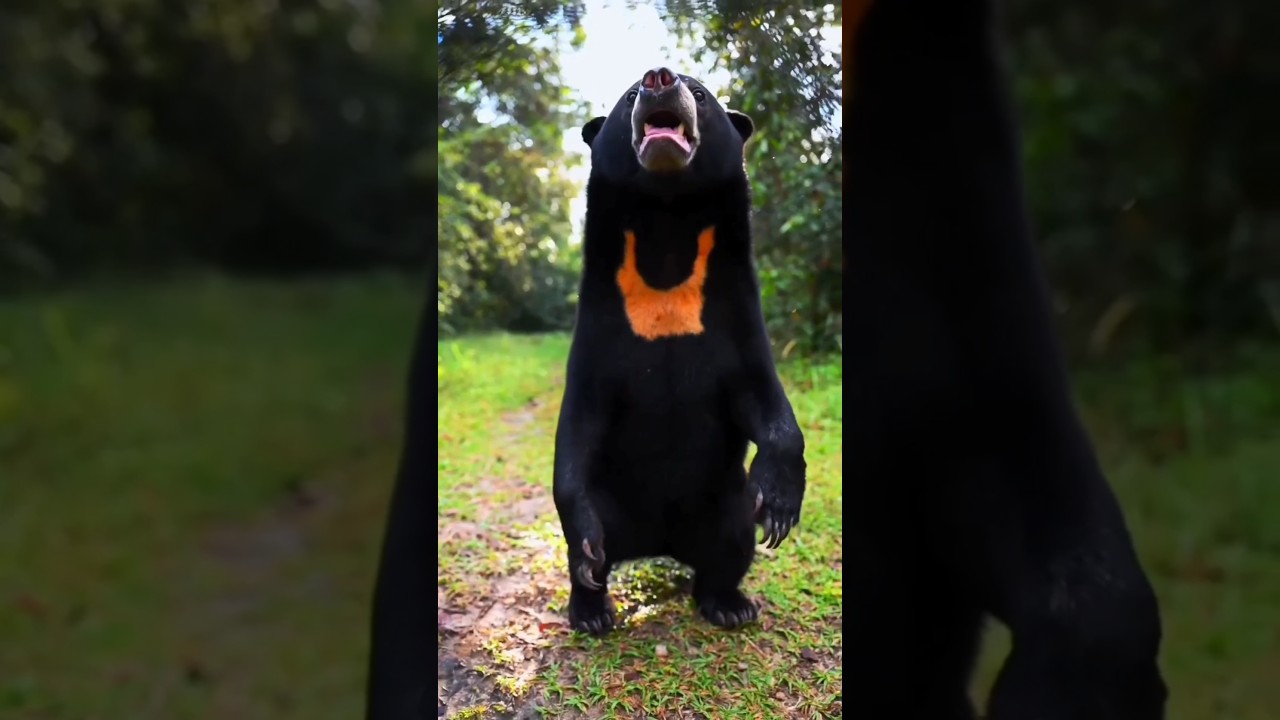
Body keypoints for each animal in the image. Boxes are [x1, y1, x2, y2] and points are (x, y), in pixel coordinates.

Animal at [552, 66, 807, 636]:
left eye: (701, 93)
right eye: (630, 95)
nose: (658, 77)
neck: (667, 224)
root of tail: (661, 544)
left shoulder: (736, 312)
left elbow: (764, 397)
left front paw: (780, 508)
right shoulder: (598, 325)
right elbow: (579, 423)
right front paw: (586, 547)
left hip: (723, 505)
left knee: (733, 543)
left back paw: (729, 604)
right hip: (614, 506)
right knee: (589, 556)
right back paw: (591, 609)